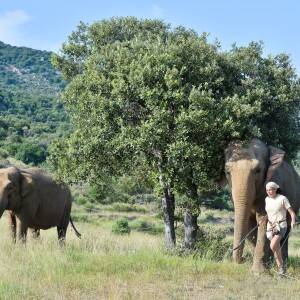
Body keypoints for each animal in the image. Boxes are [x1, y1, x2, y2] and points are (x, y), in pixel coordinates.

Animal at [224, 138, 300, 274]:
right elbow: (249, 223)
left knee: (285, 233)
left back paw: (282, 264)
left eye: (257, 171)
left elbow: (263, 221)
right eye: (227, 172)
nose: (242, 259)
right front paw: (260, 268)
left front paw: (257, 273)